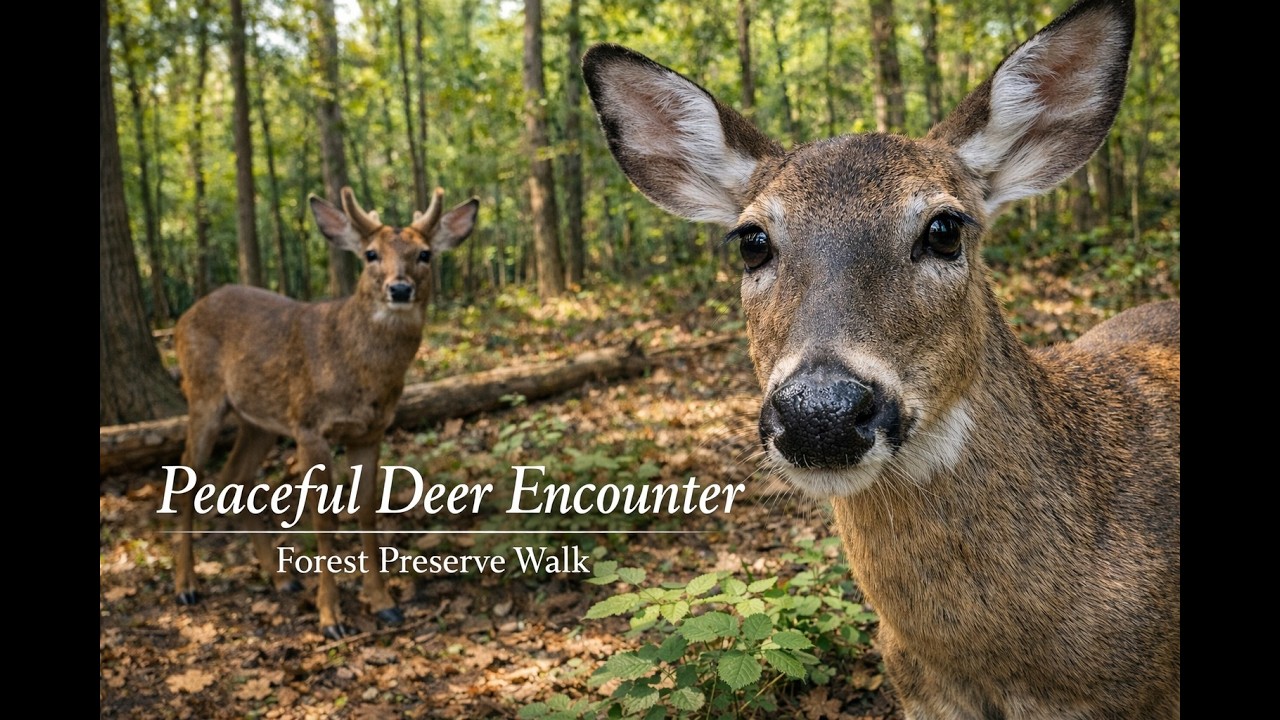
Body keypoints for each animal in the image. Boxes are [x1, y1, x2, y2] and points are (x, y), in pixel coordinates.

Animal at [171, 186, 478, 640]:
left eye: (424, 254)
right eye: (370, 254)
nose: (399, 288)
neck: (357, 368)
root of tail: (184, 315)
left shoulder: (370, 431)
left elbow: (366, 511)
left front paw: (384, 603)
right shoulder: (310, 426)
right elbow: (324, 518)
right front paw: (331, 617)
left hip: (258, 418)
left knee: (235, 477)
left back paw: (281, 578)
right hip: (204, 395)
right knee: (188, 477)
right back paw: (186, 585)